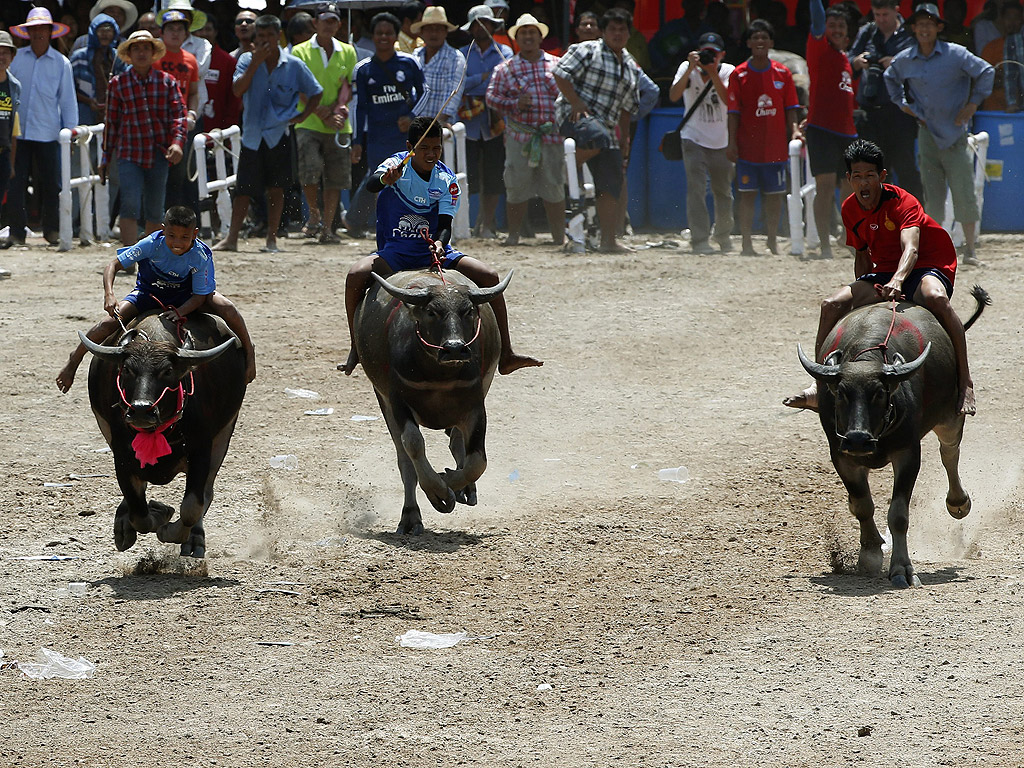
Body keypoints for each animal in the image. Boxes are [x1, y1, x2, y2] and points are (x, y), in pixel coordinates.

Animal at [81, 313, 245, 561]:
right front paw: (159, 511)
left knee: (207, 493)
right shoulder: (122, 454)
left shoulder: (201, 450)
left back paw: (195, 540)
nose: (141, 410)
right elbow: (139, 512)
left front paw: (170, 528)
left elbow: (191, 507)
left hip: (223, 435)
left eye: (167, 371)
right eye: (127, 369)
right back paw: (123, 526)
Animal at [354, 270, 509, 536]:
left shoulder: (476, 406)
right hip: (383, 402)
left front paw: (451, 482)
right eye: (431, 312)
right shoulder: (397, 402)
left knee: (457, 443)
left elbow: (477, 462)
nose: (455, 349)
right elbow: (414, 445)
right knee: (405, 461)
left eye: (468, 311)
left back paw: (465, 489)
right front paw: (438, 493)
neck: (440, 374)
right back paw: (410, 517)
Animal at [794, 286, 987, 589]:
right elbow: (863, 505)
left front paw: (902, 569)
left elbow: (898, 514)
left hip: (950, 417)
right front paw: (870, 553)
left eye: (878, 393)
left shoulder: (908, 452)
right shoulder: (841, 455)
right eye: (841, 393)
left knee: (949, 452)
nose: (858, 439)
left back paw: (958, 502)